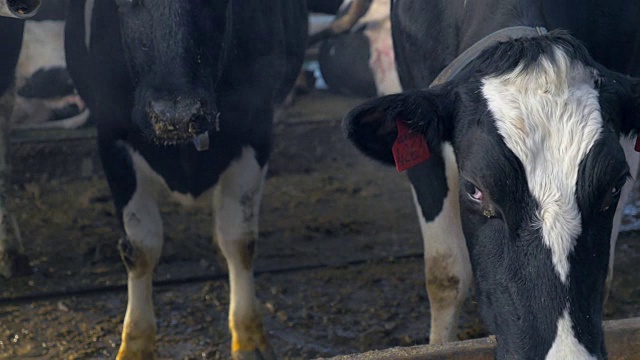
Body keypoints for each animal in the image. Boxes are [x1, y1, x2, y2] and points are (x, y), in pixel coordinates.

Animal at [66, 0, 306, 360]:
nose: (175, 116)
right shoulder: (112, 135)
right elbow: (140, 247)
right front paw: (135, 344)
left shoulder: (257, 128)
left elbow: (239, 240)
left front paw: (249, 336)